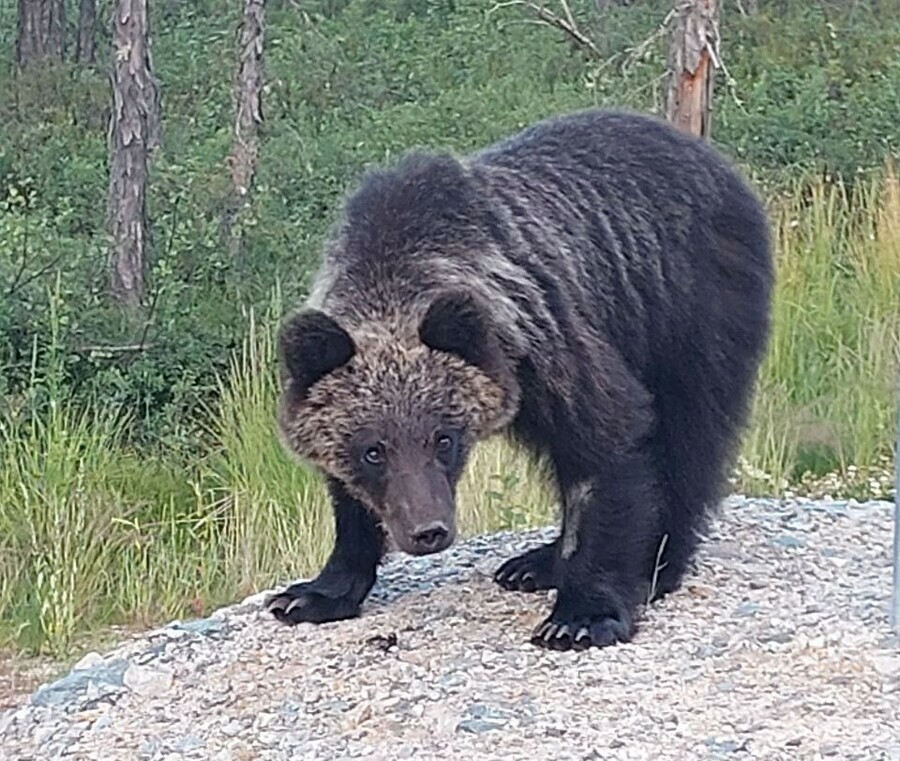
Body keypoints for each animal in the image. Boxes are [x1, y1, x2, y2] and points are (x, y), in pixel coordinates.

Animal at [266, 107, 772, 652]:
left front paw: (581, 614)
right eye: (372, 450)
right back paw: (536, 562)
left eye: (444, 439)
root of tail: (708, 155)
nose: (429, 531)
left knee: (691, 431)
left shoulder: (550, 340)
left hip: (687, 302)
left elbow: (612, 438)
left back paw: (656, 565)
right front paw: (312, 594)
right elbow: (348, 502)